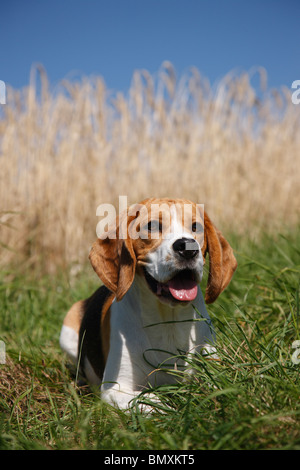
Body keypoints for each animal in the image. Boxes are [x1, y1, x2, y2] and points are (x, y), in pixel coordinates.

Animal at [60, 196, 237, 410]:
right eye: (152, 226)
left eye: (196, 226)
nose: (188, 247)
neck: (168, 322)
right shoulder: (115, 390)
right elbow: (152, 402)